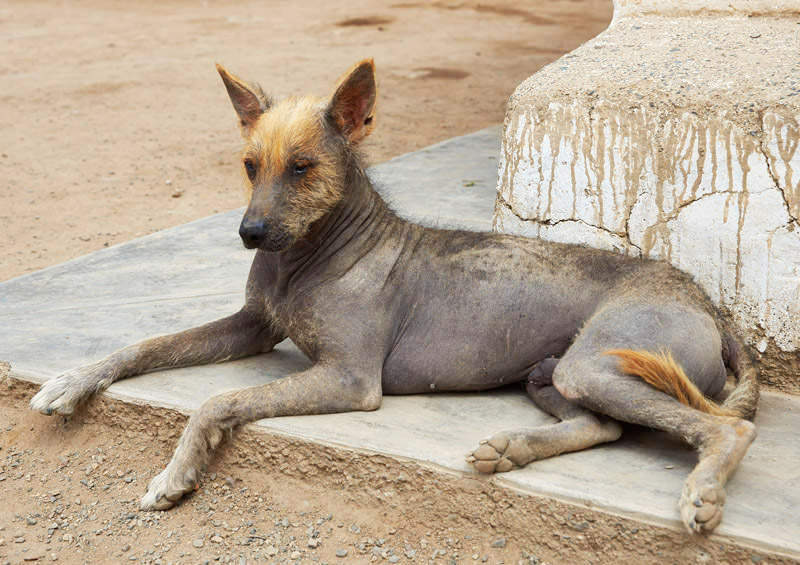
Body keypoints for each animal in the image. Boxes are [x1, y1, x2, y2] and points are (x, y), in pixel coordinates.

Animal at [29, 61, 756, 532]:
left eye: (303, 167)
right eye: (249, 167)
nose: (249, 233)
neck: (305, 258)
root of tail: (711, 306)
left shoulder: (349, 380)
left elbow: (217, 401)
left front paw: (175, 475)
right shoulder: (250, 325)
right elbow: (146, 344)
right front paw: (72, 378)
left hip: (597, 364)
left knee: (729, 427)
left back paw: (702, 493)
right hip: (555, 373)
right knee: (603, 425)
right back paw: (509, 449)